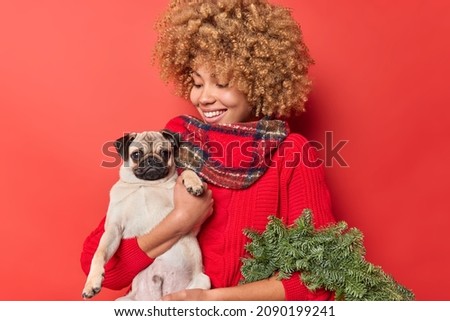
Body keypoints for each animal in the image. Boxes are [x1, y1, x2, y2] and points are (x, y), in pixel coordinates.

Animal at [81, 129, 211, 298]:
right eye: (136, 154)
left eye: (165, 153)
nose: (151, 160)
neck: (146, 184)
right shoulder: (113, 229)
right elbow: (99, 253)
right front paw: (92, 283)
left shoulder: (193, 226)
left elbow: (186, 171)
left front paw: (194, 183)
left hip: (203, 282)